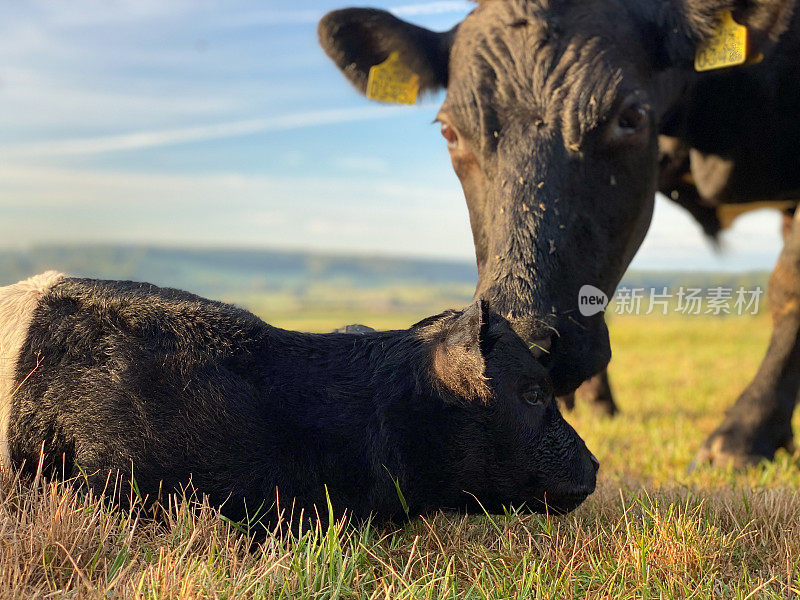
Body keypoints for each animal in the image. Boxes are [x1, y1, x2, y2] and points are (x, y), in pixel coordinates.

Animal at [320, 0, 800, 466]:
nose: (517, 338)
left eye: (630, 116)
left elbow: (787, 286)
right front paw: (588, 404)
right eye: (450, 131)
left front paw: (744, 435)